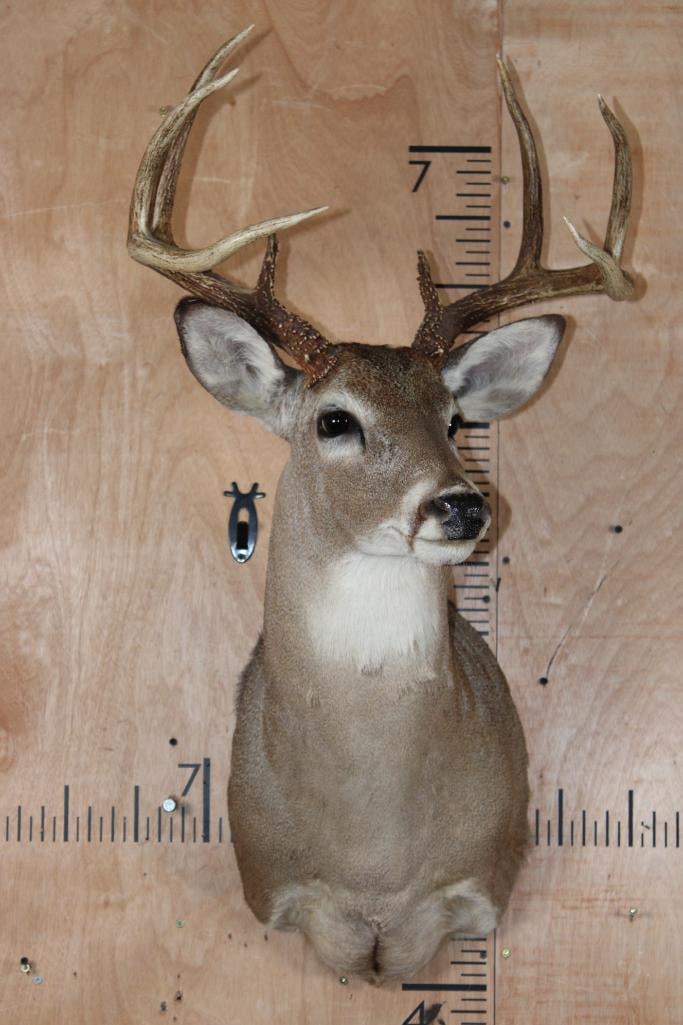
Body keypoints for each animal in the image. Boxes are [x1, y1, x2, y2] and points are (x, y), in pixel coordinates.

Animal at [128, 26, 633, 984]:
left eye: (453, 417)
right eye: (335, 419)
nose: (461, 506)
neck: (373, 852)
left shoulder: (476, 884)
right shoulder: (279, 888)